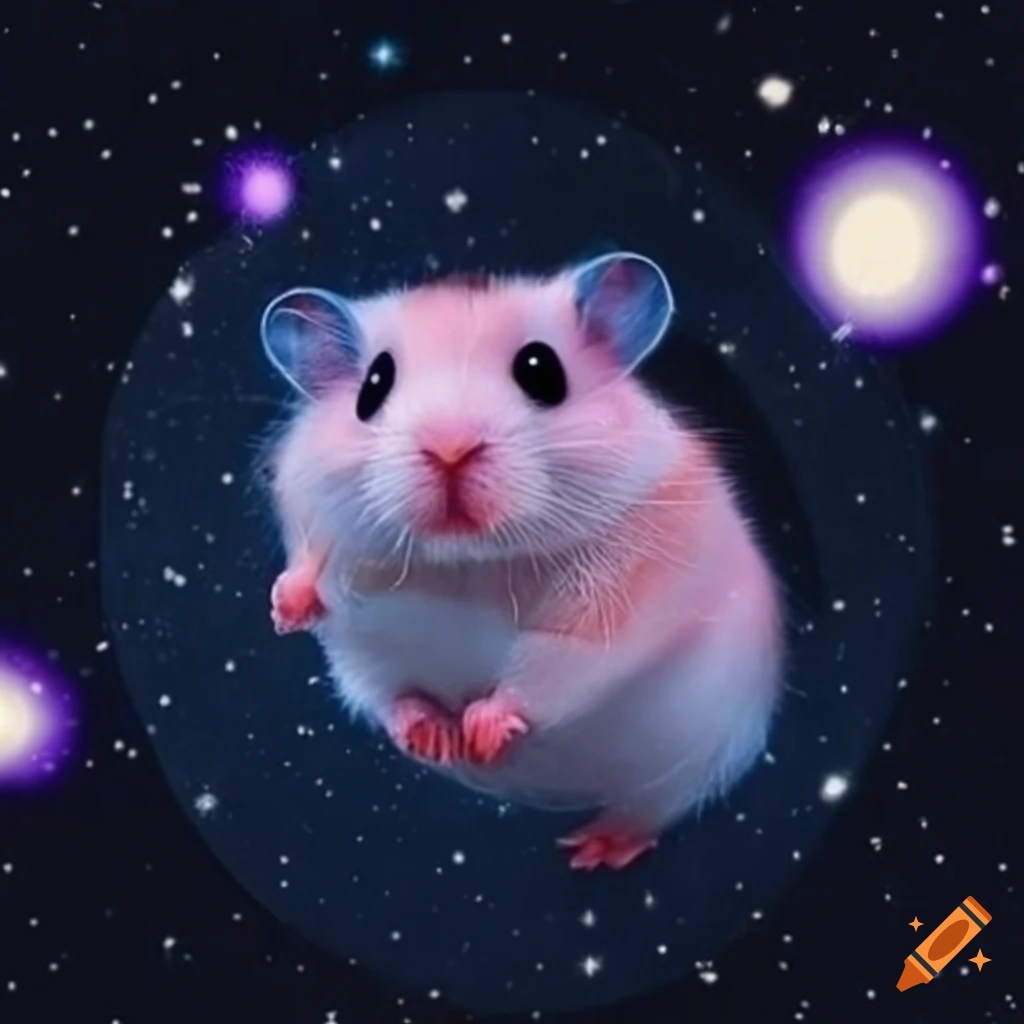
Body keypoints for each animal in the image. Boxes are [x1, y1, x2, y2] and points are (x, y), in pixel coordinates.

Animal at [260, 252, 783, 871]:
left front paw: (480, 736)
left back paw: (590, 852)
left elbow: (555, 665)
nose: (450, 447)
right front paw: (289, 614)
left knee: (648, 810)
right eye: (373, 386)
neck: (463, 563)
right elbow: (379, 681)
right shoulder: (333, 574)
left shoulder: (610, 609)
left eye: (541, 371)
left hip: (698, 758)